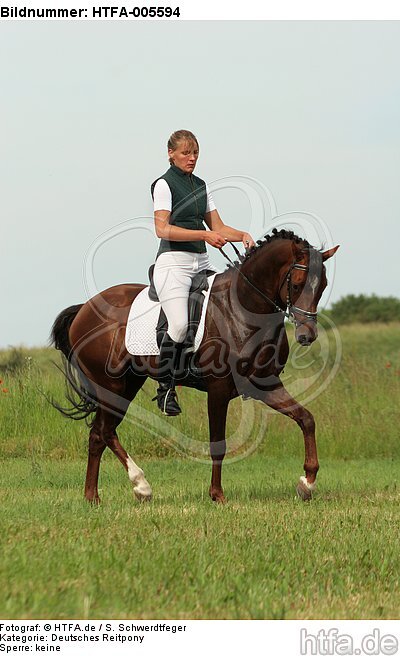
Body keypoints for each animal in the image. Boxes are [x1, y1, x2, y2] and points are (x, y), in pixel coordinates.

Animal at [50, 229, 339, 504]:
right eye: (298, 284)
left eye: (322, 286)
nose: (307, 335)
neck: (244, 309)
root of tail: (84, 309)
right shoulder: (219, 389)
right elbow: (218, 444)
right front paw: (217, 495)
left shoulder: (264, 384)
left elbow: (306, 419)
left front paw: (307, 483)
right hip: (111, 385)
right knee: (103, 432)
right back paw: (134, 487)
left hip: (129, 383)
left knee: (100, 433)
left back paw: (101, 495)